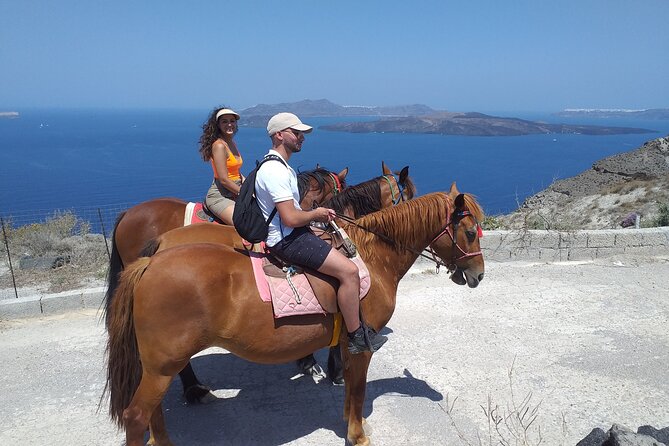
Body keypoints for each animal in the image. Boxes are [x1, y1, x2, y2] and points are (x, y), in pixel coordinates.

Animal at [105, 191, 484, 446]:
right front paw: (358, 434)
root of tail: (149, 263)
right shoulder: (361, 343)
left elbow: (350, 388)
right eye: (469, 232)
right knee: (136, 416)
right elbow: (359, 388)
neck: (371, 258)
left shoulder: (345, 343)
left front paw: (347, 420)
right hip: (162, 366)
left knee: (152, 412)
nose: (479, 275)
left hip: (158, 368)